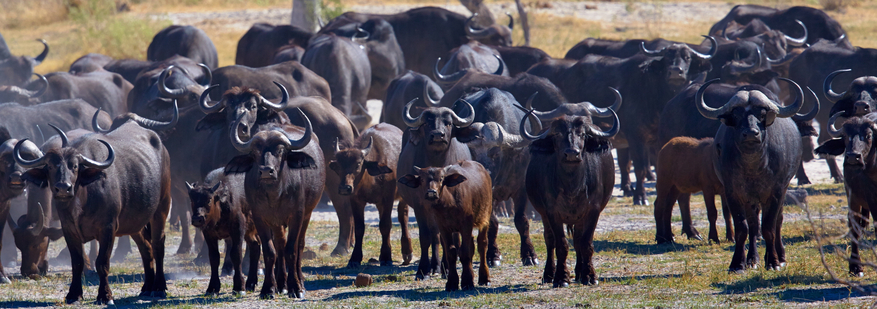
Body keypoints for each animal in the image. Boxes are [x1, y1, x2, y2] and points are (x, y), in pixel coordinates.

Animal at [328, 122, 410, 268]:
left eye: (358, 164)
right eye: (339, 166)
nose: (345, 188)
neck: (370, 180)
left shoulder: (388, 198)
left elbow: (385, 225)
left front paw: (386, 257)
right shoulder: (356, 200)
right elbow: (359, 228)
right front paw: (355, 258)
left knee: (403, 216)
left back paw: (406, 252)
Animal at [398, 160, 492, 290]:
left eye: (441, 178)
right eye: (422, 179)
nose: (431, 193)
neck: (449, 203)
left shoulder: (466, 225)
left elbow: (465, 251)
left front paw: (467, 281)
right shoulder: (443, 227)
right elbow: (451, 252)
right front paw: (452, 282)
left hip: (485, 218)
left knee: (482, 245)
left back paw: (484, 278)